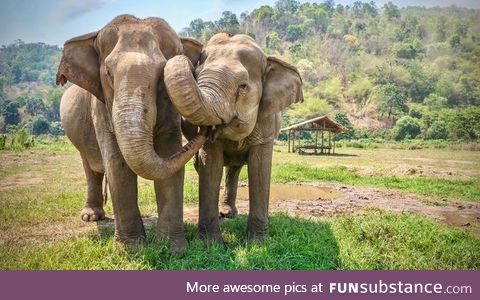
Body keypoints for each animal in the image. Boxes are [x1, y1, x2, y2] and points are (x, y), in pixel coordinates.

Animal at [56, 14, 206, 253]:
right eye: (108, 73)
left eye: (162, 75)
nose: (206, 129)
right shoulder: (101, 107)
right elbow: (117, 166)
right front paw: (131, 249)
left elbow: (169, 154)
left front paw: (173, 249)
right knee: (90, 168)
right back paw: (91, 217)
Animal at [163, 33, 302, 241]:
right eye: (196, 75)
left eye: (243, 86)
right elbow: (210, 167)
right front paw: (210, 243)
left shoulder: (267, 125)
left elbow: (260, 170)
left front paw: (258, 241)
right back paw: (224, 213)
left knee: (234, 170)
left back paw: (229, 213)